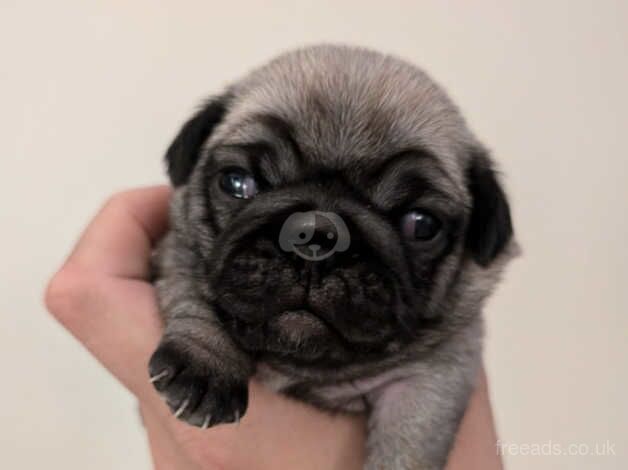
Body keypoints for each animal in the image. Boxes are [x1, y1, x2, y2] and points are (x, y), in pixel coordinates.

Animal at [148, 45, 516, 470]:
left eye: (422, 224)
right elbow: (195, 290)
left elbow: (408, 443)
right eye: (237, 182)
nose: (317, 236)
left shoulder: (430, 379)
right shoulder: (173, 248)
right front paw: (207, 359)